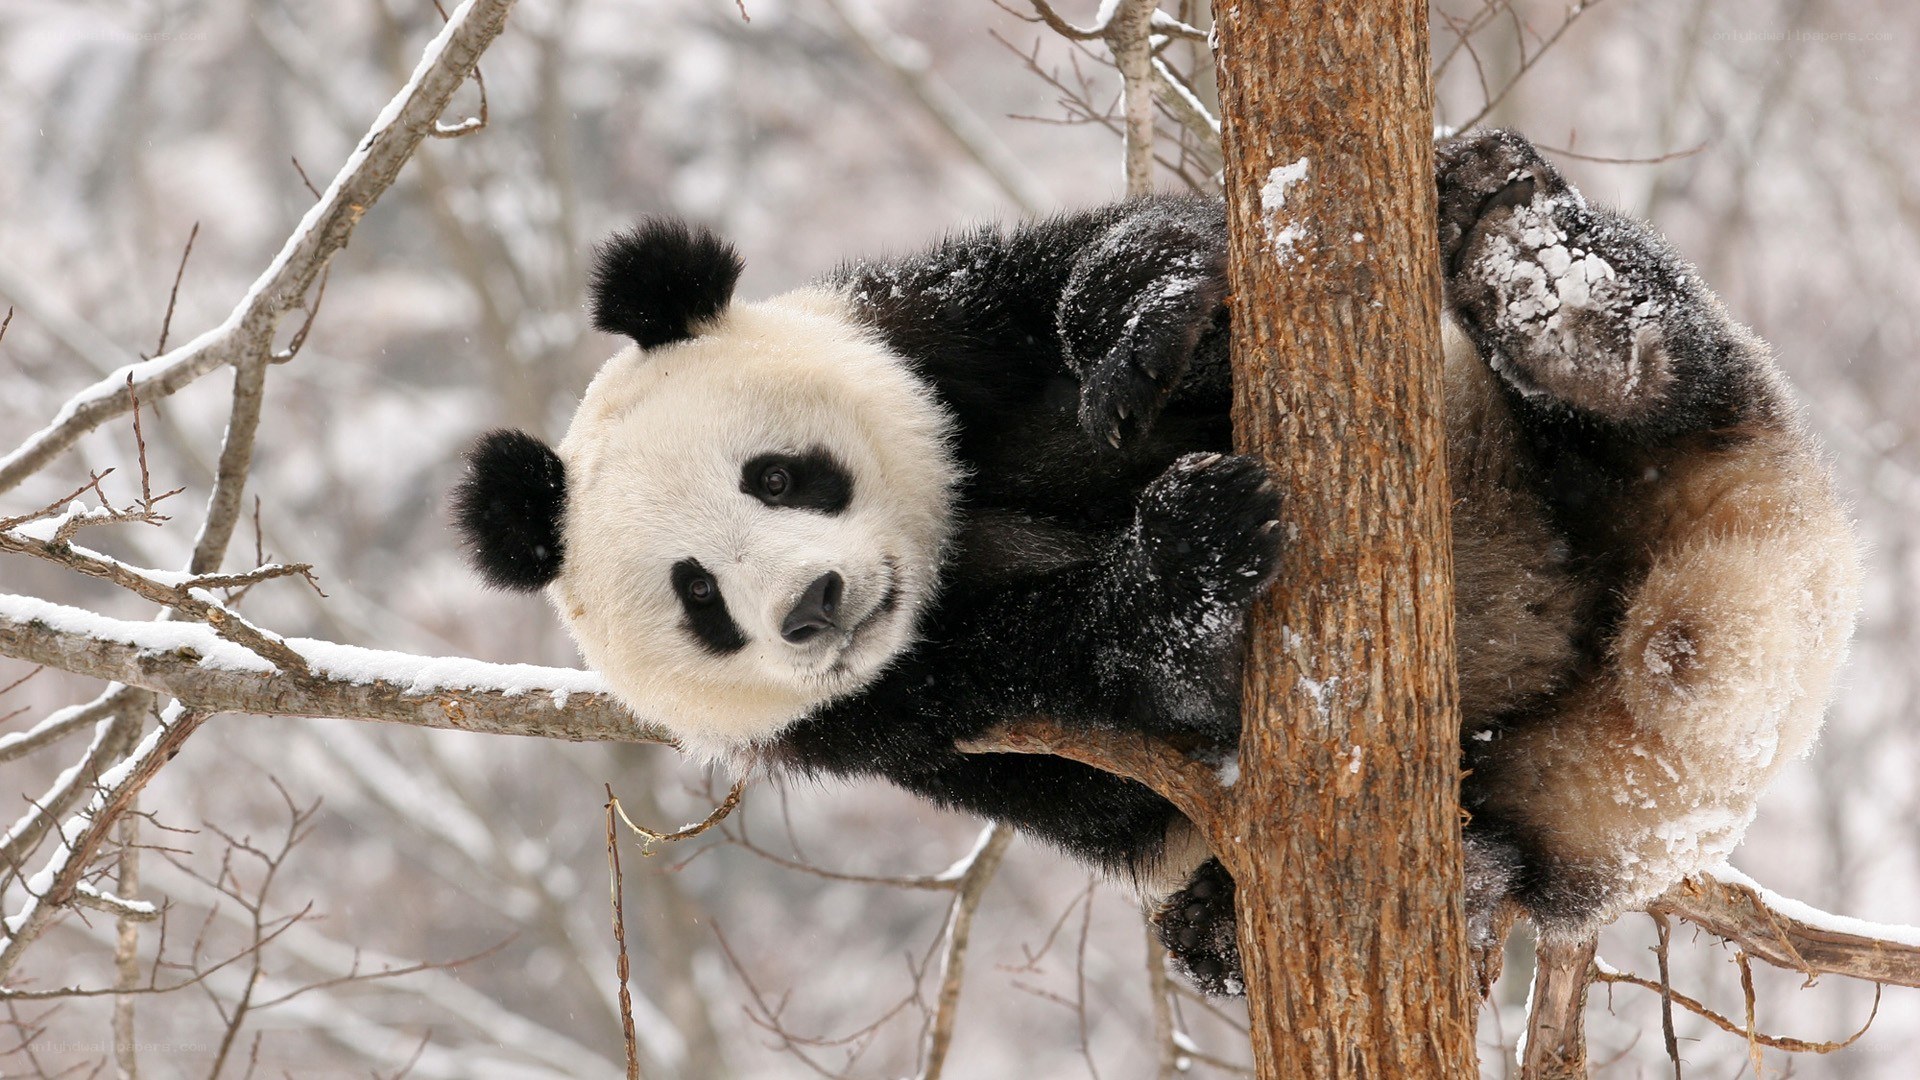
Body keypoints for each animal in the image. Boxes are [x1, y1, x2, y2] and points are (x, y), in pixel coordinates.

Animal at [451, 130, 1860, 996]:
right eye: (698, 596)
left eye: (783, 476)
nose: (814, 603)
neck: (953, 547)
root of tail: (1715, 648)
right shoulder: (888, 718)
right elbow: (1114, 734)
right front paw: (1190, 553)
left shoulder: (936, 332)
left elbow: (1114, 274)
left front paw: (1147, 324)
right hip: (1554, 777)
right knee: (1519, 848)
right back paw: (1379, 891)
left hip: (1645, 455)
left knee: (1667, 380)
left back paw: (1544, 285)